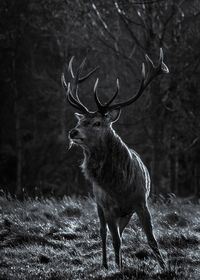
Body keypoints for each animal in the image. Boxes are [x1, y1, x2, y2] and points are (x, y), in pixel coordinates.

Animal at [61, 49, 169, 270]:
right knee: (104, 233)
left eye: (97, 122)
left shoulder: (141, 202)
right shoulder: (108, 206)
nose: (73, 132)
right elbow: (115, 240)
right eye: (80, 121)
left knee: (120, 232)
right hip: (99, 204)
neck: (121, 187)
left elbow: (151, 239)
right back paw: (106, 264)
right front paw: (119, 268)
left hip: (125, 213)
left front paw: (164, 267)